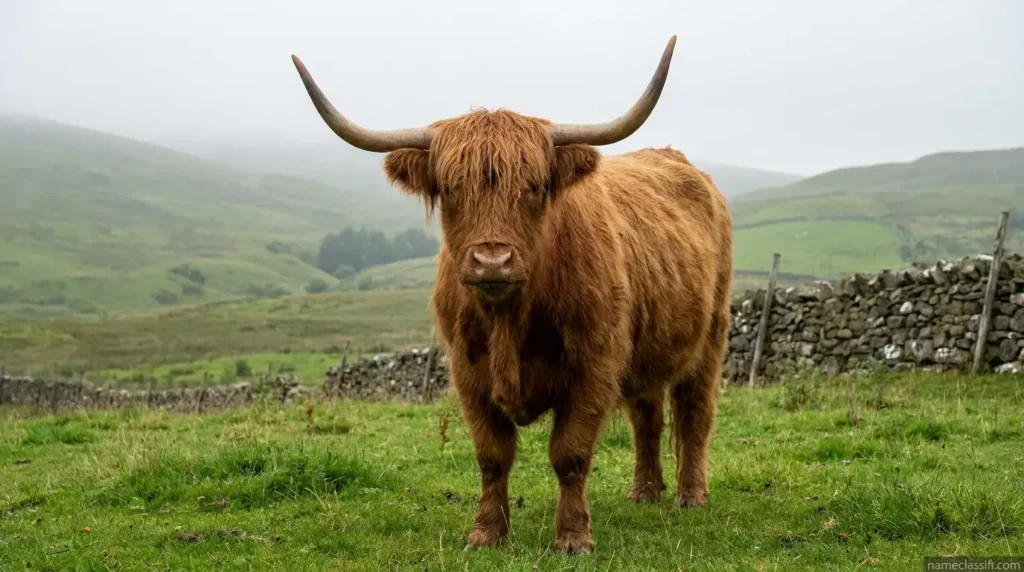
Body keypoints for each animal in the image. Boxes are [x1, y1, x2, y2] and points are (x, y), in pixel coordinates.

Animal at [291, 35, 733, 554]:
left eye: (536, 185)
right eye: (450, 188)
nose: (492, 260)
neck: (509, 320)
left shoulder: (595, 365)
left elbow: (570, 453)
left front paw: (573, 538)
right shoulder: (468, 373)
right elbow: (491, 455)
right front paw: (486, 532)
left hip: (710, 338)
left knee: (693, 413)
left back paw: (690, 495)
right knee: (647, 416)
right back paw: (644, 491)